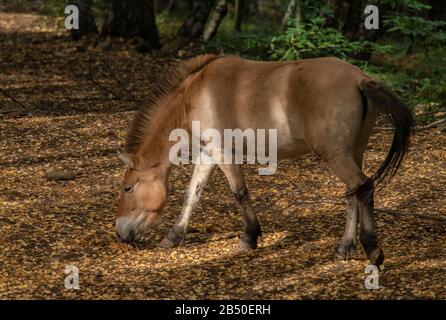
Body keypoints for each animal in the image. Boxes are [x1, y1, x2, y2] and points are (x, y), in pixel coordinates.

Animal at [115, 54, 414, 264]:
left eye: (127, 188)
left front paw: (249, 238)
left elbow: (239, 192)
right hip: (352, 153)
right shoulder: (208, 154)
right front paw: (173, 236)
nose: (121, 233)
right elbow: (192, 195)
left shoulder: (223, 153)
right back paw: (345, 248)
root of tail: (360, 80)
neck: (195, 94)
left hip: (337, 156)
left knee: (363, 187)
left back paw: (372, 248)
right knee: (354, 193)